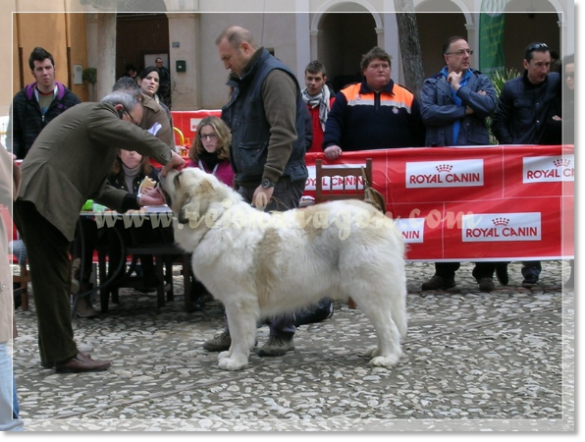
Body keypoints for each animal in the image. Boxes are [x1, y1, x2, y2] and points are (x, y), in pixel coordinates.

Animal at [159, 167, 406, 372]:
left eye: (178, 177)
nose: (163, 169)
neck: (214, 220)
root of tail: (378, 216)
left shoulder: (238, 301)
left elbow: (239, 334)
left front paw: (235, 361)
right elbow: (235, 333)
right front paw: (228, 355)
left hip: (367, 291)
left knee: (389, 327)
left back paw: (387, 358)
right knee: (386, 326)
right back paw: (378, 351)